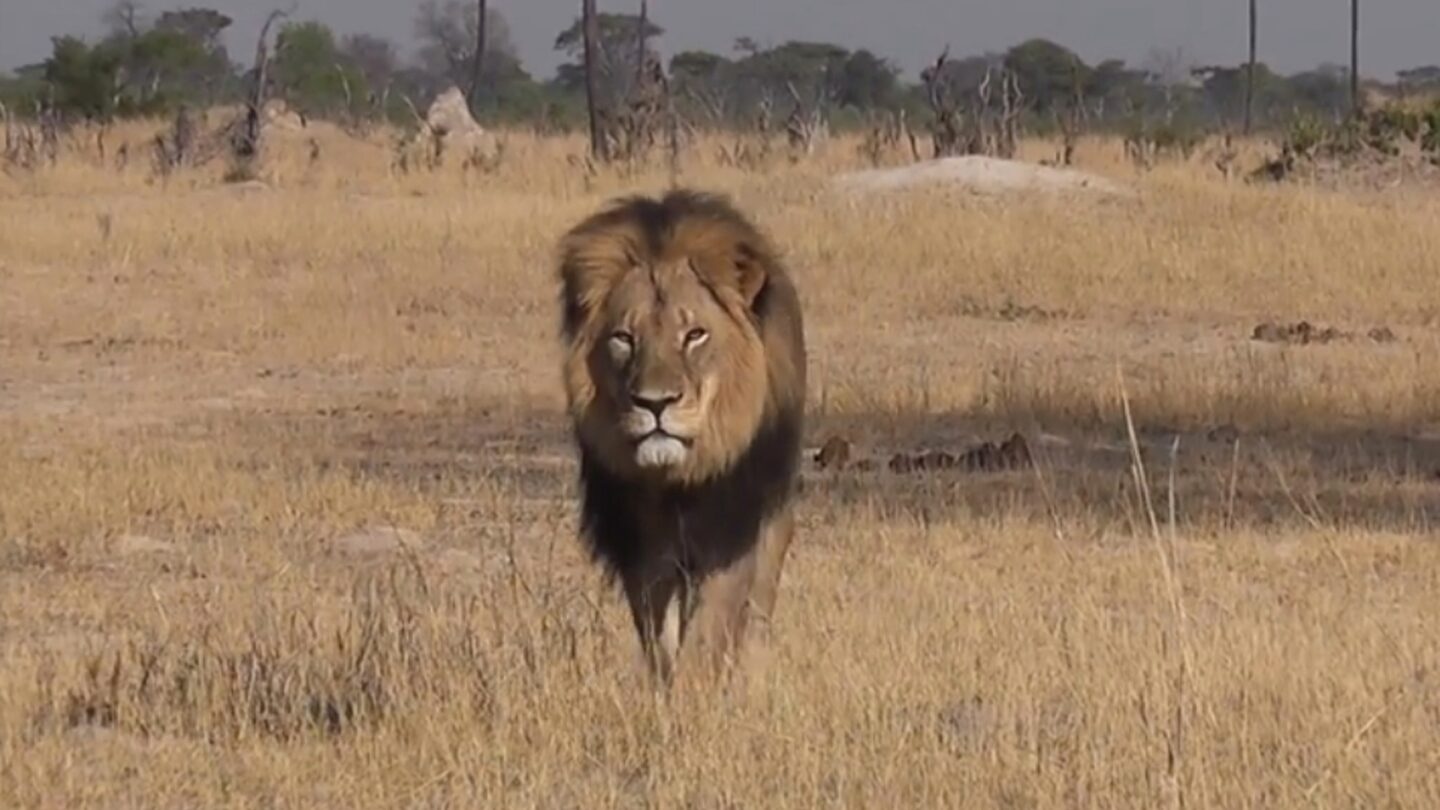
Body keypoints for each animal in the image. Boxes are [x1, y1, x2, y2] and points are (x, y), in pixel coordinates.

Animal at [554, 188, 807, 684]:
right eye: (623, 338)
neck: (675, 482)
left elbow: (710, 630)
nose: (655, 404)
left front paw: (697, 688)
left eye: (694, 335)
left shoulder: (730, 532)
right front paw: (665, 688)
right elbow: (660, 636)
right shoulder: (642, 546)